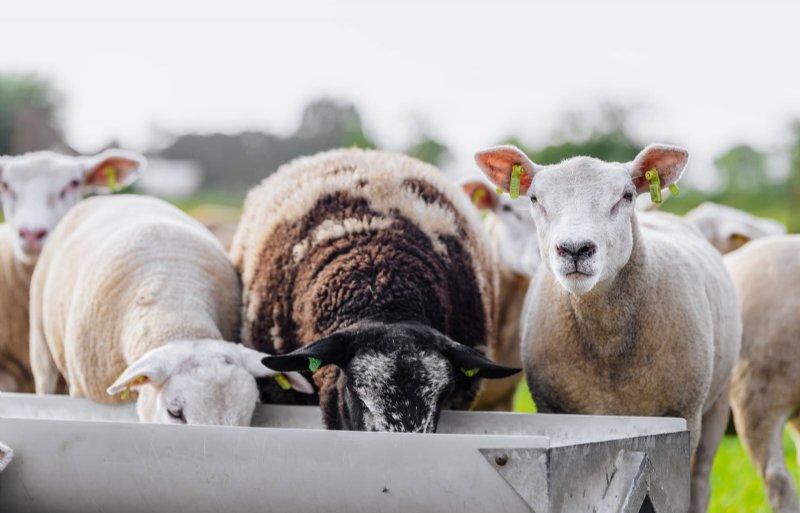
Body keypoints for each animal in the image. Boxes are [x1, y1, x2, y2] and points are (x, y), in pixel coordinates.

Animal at [476, 141, 744, 512]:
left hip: (716, 403)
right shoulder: (556, 408)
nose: (575, 249)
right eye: (534, 198)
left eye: (627, 195)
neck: (607, 345)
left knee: (701, 482)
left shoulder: (685, 417)